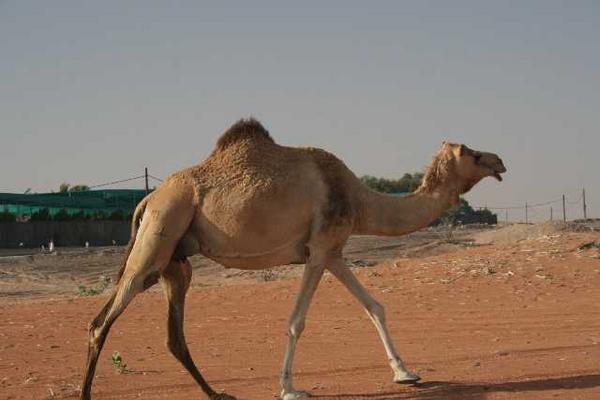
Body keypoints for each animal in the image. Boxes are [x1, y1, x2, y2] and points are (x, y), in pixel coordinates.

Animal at [81, 119, 506, 400]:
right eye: (472, 153)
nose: (499, 161)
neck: (358, 198)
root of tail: (148, 199)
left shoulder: (332, 251)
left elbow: (375, 306)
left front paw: (406, 373)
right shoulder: (318, 252)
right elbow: (296, 321)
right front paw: (289, 388)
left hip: (176, 260)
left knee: (173, 333)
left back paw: (217, 394)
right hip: (160, 232)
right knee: (103, 320)